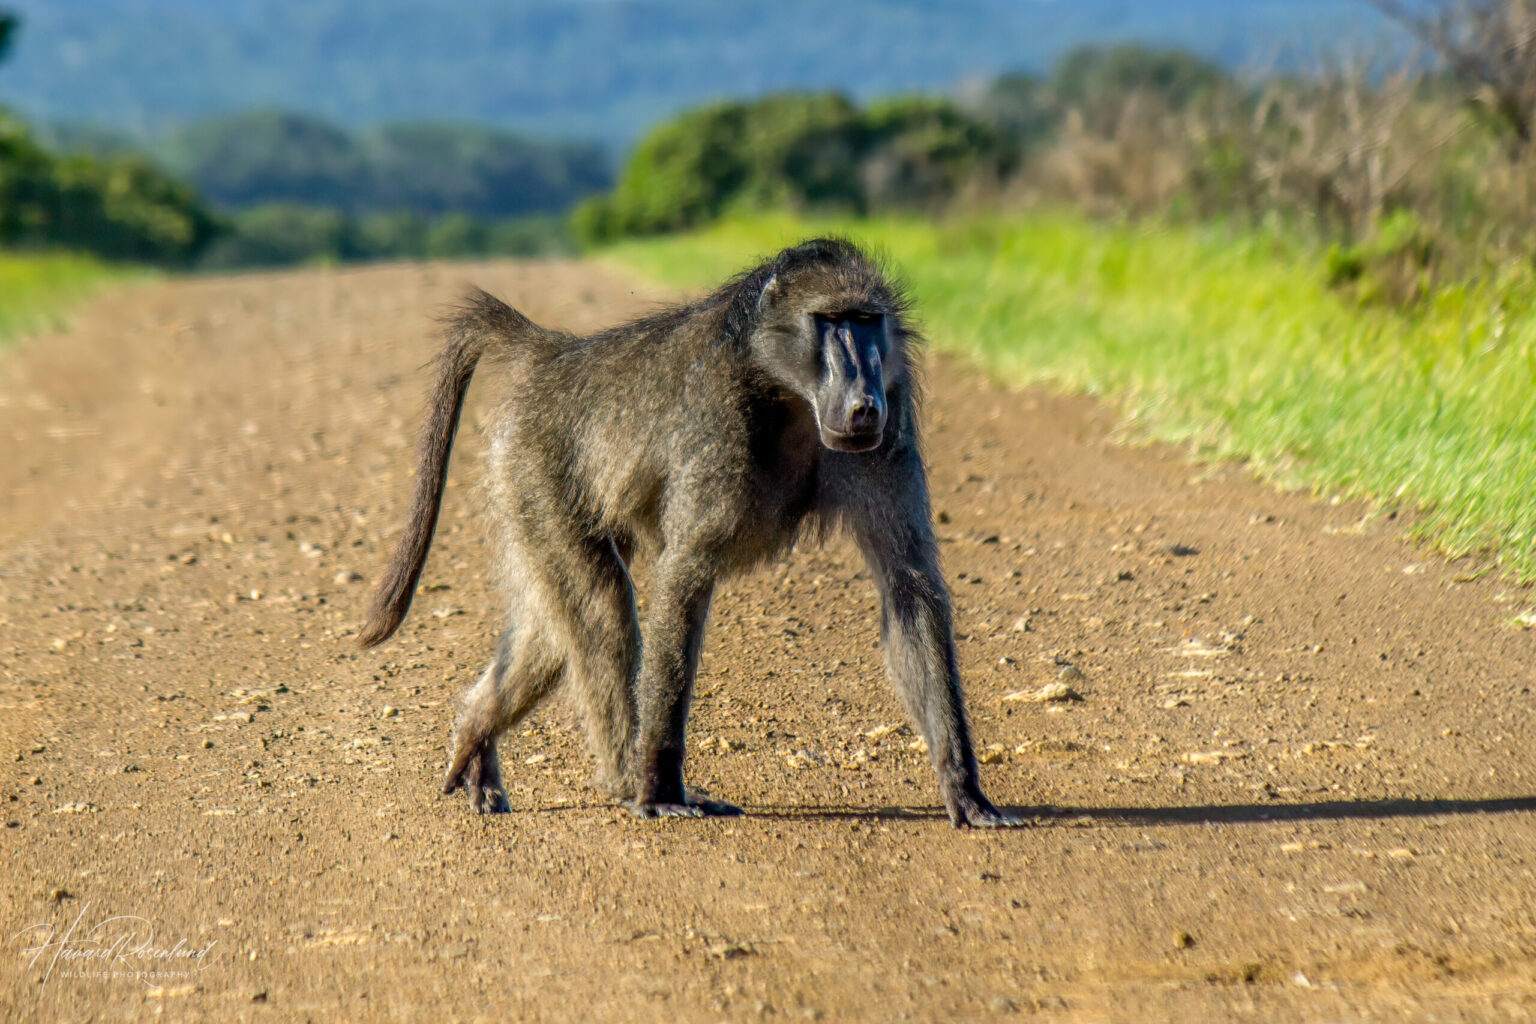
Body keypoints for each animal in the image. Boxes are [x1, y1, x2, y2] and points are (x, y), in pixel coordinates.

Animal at [360, 238, 1023, 828]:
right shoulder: (716, 426)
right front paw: (659, 788)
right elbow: (685, 576)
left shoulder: (893, 423)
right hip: (534, 470)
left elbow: (907, 583)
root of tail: (557, 356)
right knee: (602, 609)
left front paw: (965, 789)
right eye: (830, 321)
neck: (786, 392)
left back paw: (475, 731)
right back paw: (624, 779)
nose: (863, 403)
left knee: (550, 638)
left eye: (867, 321)